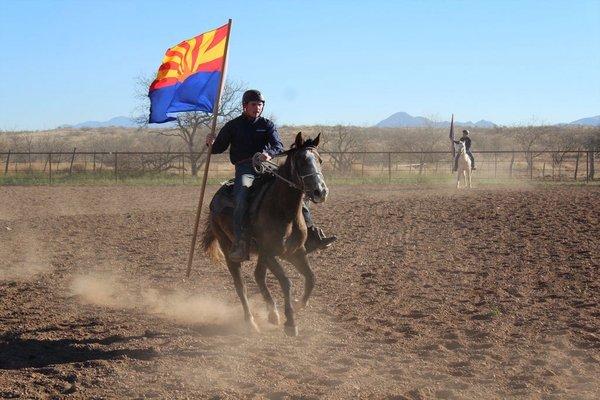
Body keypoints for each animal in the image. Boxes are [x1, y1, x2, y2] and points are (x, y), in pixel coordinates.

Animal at [202, 133, 328, 336]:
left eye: (320, 160)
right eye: (301, 160)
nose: (320, 191)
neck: (283, 210)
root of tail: (215, 201)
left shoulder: (296, 252)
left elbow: (311, 278)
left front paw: (298, 305)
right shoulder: (269, 253)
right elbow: (286, 282)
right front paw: (290, 322)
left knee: (258, 276)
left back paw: (272, 313)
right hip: (229, 248)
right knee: (241, 286)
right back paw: (251, 322)